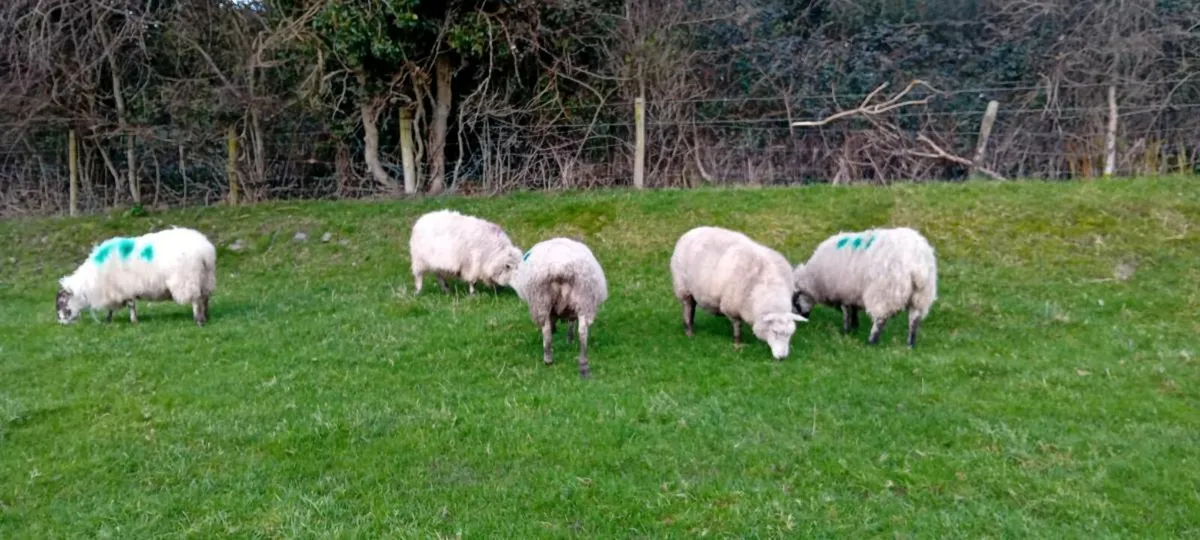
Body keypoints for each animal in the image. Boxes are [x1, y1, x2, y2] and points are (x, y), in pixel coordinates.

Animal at [56, 226, 217, 326]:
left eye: (62, 301)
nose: (61, 323)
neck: (90, 284)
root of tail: (205, 250)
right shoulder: (114, 291)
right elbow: (112, 309)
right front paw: (109, 319)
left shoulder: (125, 288)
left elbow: (131, 306)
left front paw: (134, 321)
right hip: (206, 278)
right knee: (205, 298)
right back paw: (206, 316)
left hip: (188, 279)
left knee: (196, 300)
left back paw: (198, 320)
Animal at [511, 237, 608, 378]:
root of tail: (560, 266)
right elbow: (571, 323)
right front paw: (569, 339)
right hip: (584, 299)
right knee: (582, 332)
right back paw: (583, 364)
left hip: (541, 301)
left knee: (546, 330)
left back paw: (548, 359)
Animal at [670, 226, 808, 360]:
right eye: (774, 331)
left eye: (790, 334)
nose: (782, 358)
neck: (769, 287)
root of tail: (692, 231)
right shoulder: (732, 308)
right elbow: (737, 326)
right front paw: (738, 344)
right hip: (683, 287)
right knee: (688, 307)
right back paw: (689, 331)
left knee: (692, 307)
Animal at [791, 227, 937, 348]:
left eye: (794, 301)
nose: (800, 323)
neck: (815, 280)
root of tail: (918, 264)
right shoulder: (853, 292)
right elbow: (854, 310)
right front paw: (855, 326)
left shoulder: (844, 291)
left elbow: (847, 313)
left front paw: (846, 330)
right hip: (921, 296)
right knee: (914, 320)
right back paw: (910, 344)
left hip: (884, 293)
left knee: (880, 319)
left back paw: (872, 341)